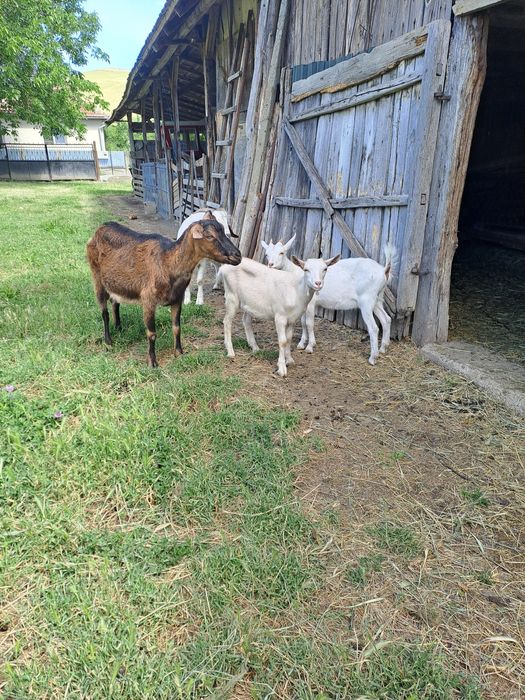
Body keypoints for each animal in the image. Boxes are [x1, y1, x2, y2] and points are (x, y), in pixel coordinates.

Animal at [86, 212, 241, 367]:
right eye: (209, 236)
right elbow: (151, 333)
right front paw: (152, 362)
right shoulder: (148, 300)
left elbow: (177, 328)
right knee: (104, 312)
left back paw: (119, 328)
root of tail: (100, 229)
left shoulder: (177, 299)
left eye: (224, 231)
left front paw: (179, 353)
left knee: (115, 302)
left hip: (115, 283)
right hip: (97, 277)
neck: (167, 261)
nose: (237, 255)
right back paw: (108, 341)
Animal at [261, 235, 393, 365]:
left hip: (366, 300)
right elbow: (303, 322)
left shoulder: (311, 303)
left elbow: (309, 323)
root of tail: (384, 271)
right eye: (267, 254)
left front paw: (310, 346)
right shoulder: (303, 303)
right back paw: (383, 349)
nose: (271, 264)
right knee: (386, 319)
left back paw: (373, 358)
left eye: (282, 252)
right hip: (377, 299)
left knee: (374, 327)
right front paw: (301, 343)